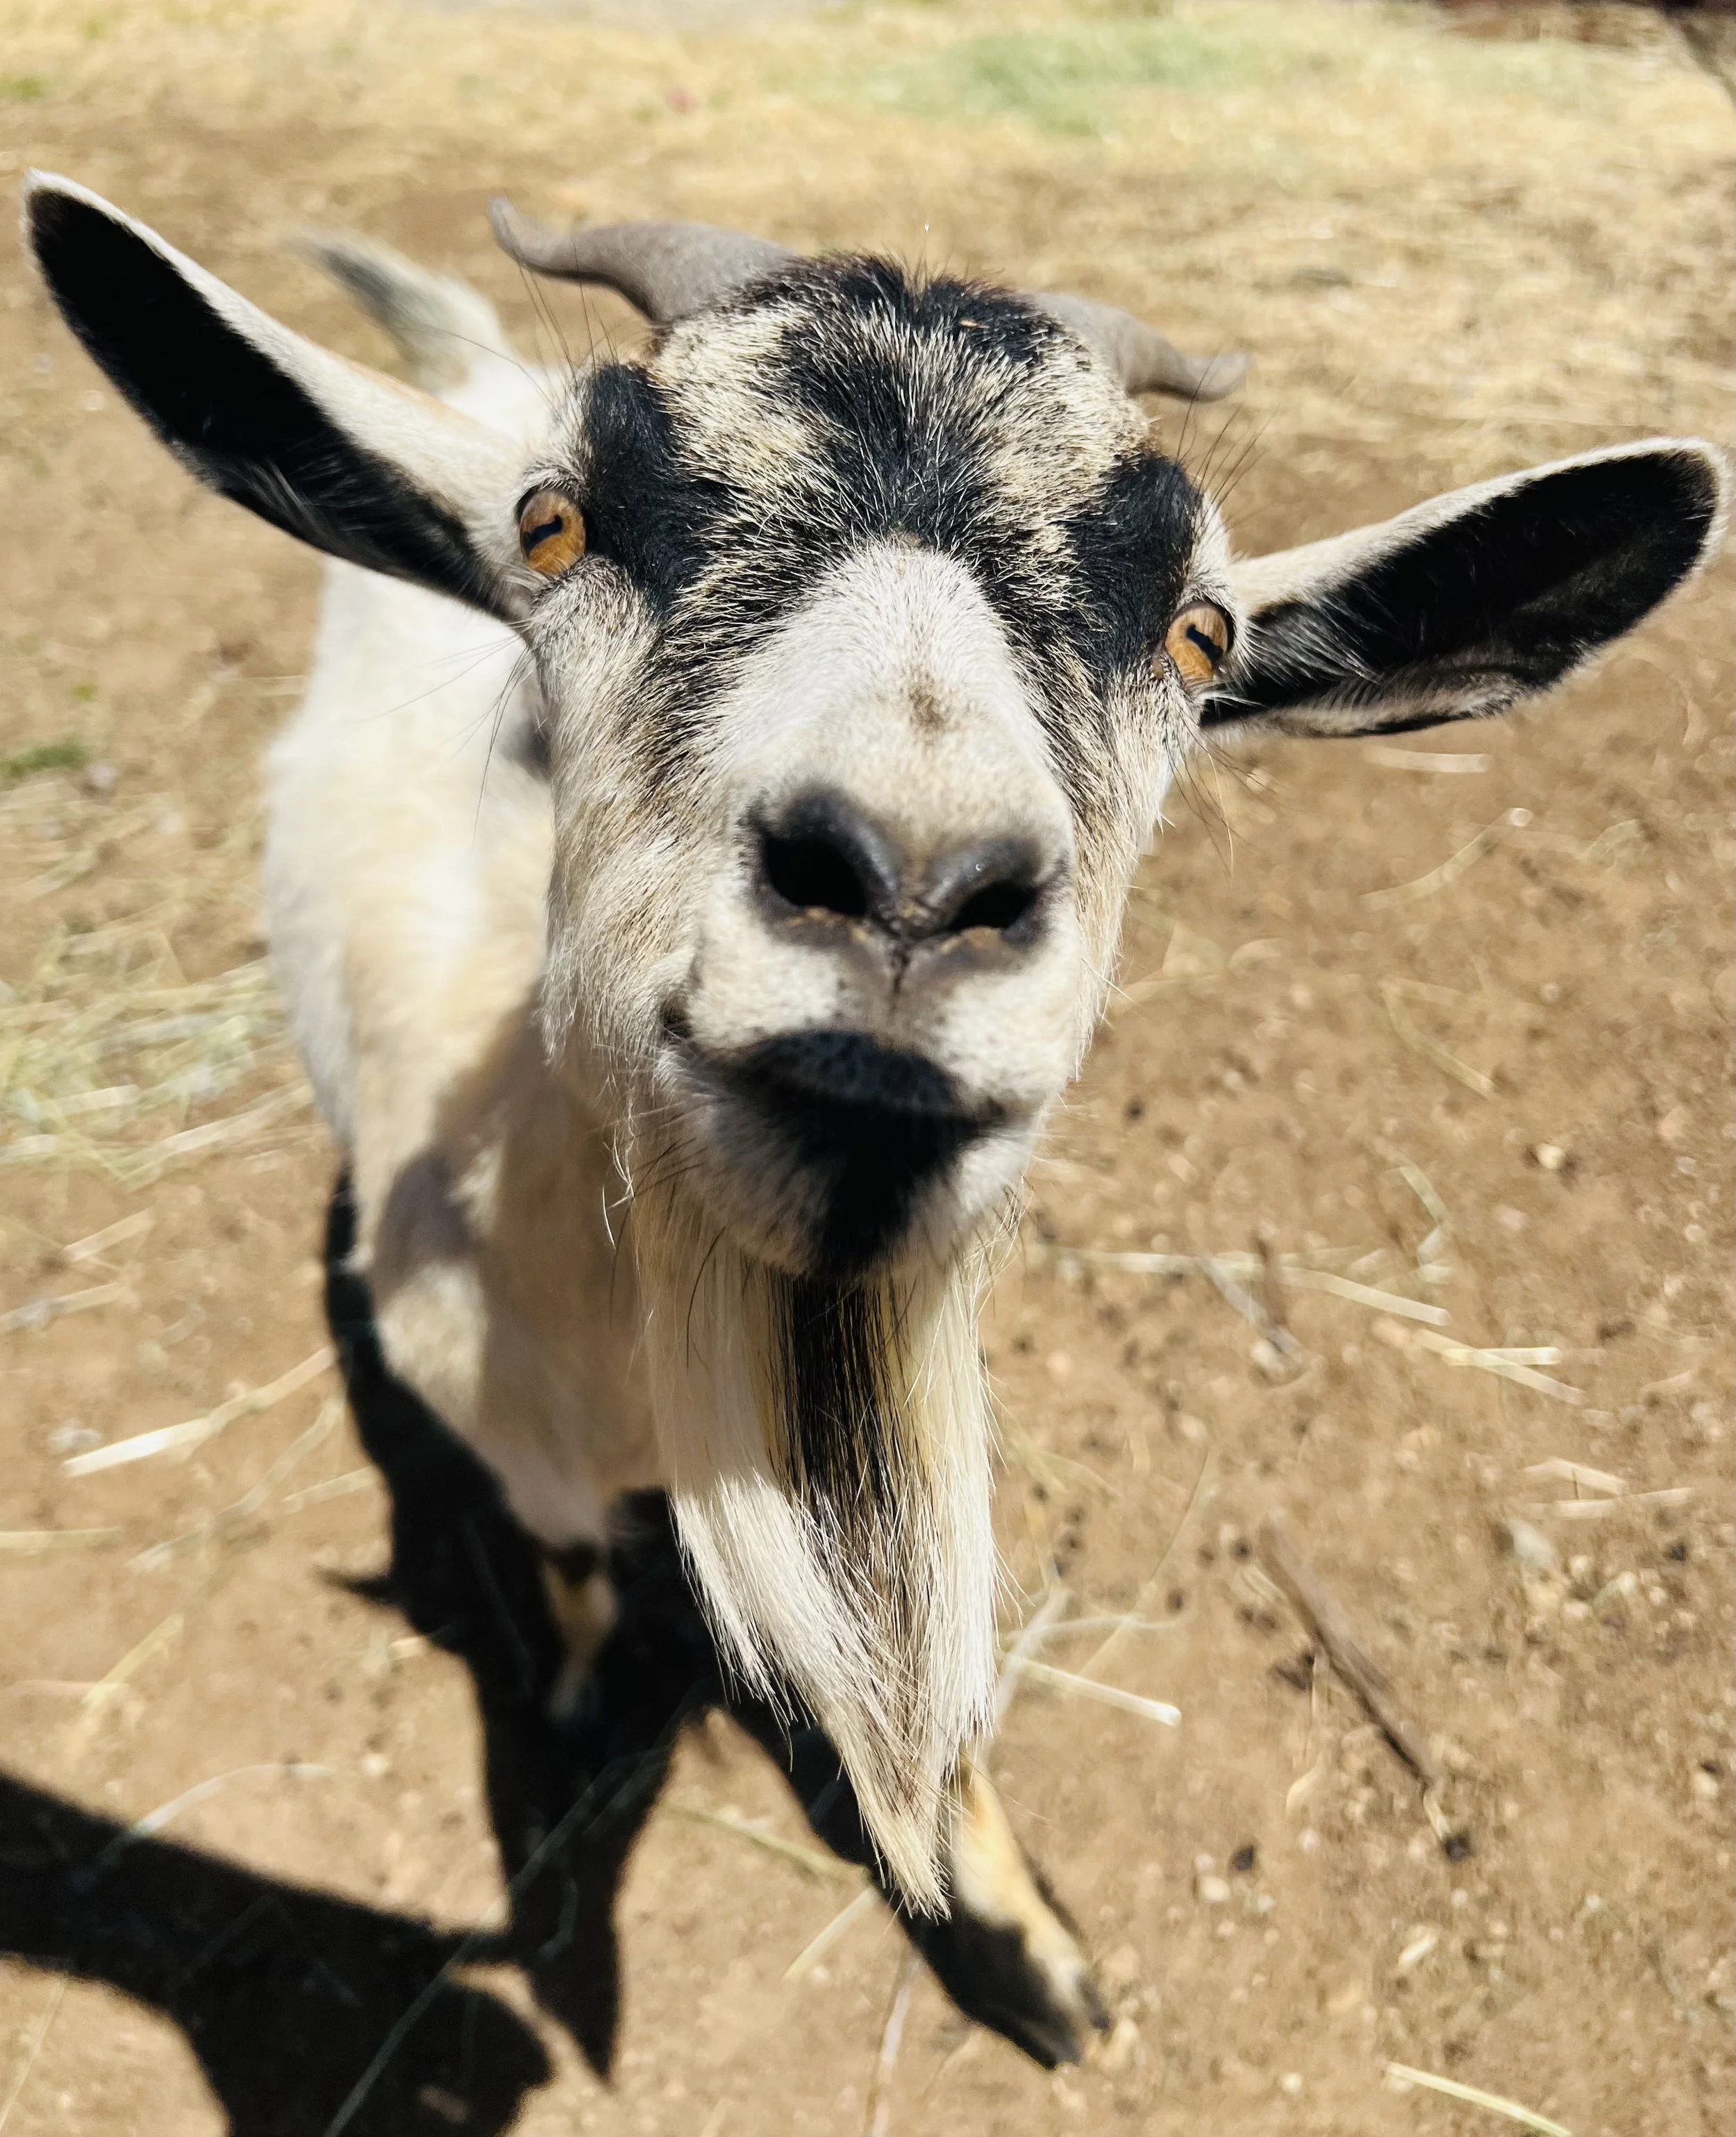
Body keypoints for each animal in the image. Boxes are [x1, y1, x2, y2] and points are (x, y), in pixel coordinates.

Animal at [24, 172, 1724, 2068]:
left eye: (1198, 631)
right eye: (554, 526)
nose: (910, 887)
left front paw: (1036, 1961)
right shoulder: (512, 1436)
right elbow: (568, 1578)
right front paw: (572, 1707)